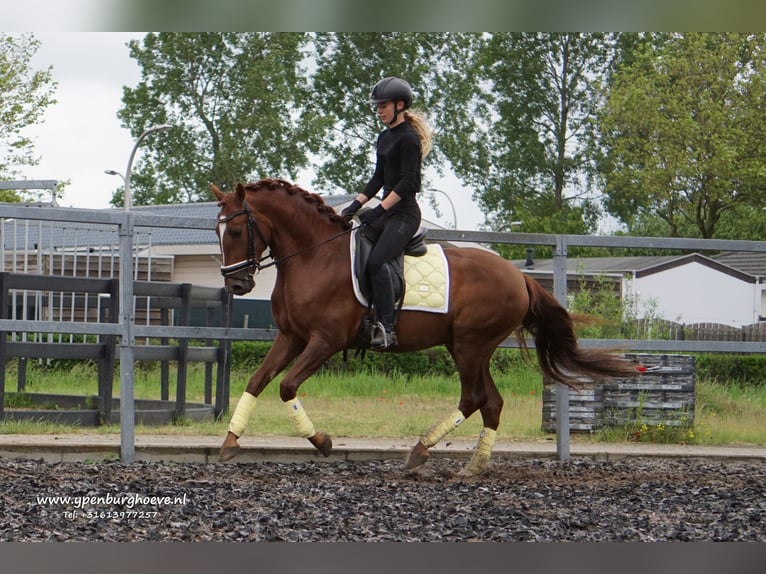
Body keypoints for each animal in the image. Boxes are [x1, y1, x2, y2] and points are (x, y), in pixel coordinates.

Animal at [213, 178, 640, 474]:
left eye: (234, 231)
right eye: (217, 233)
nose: (237, 285)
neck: (314, 256)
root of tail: (519, 276)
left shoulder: (325, 340)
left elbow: (286, 386)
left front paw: (322, 442)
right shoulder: (292, 336)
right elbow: (257, 381)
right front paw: (230, 442)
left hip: (470, 346)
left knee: (473, 398)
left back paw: (420, 451)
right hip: (468, 347)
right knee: (491, 402)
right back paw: (473, 466)